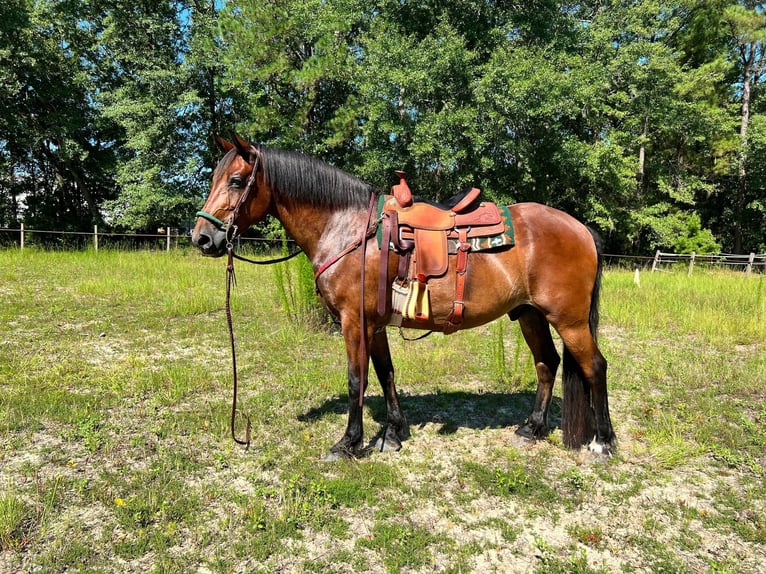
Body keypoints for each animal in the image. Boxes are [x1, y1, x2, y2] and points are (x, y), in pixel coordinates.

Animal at [194, 137, 616, 462]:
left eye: (236, 181)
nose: (202, 237)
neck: (347, 229)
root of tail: (581, 229)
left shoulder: (354, 322)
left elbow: (357, 379)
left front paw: (348, 443)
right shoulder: (375, 324)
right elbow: (386, 374)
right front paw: (393, 433)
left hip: (569, 320)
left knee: (595, 367)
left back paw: (603, 442)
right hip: (530, 314)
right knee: (547, 364)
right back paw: (532, 428)